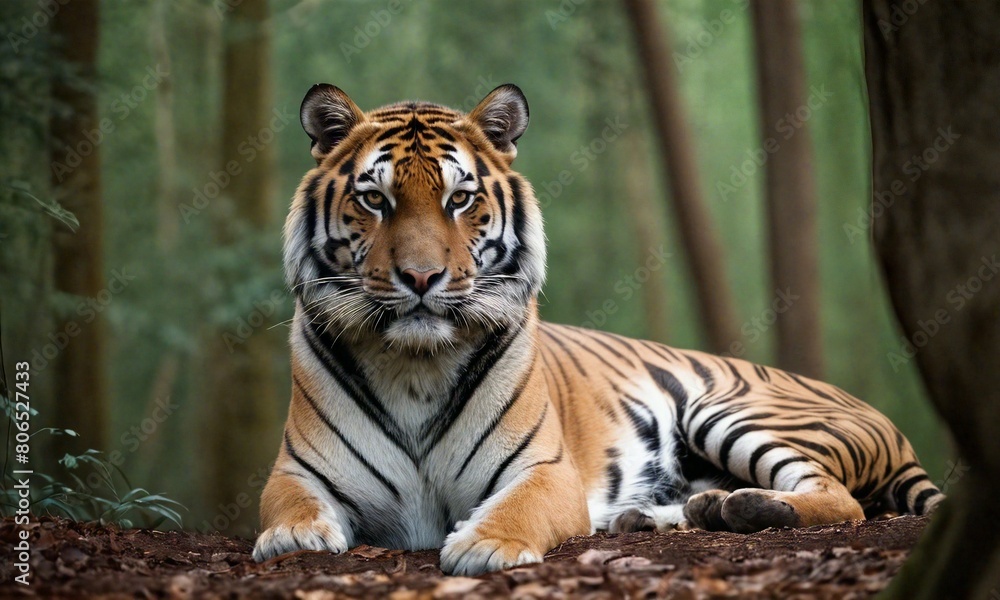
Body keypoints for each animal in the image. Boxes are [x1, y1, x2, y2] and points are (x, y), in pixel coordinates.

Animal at [252, 83, 944, 576]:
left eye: (459, 199)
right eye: (375, 199)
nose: (421, 277)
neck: (415, 362)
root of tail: (888, 422)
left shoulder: (544, 470)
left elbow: (518, 507)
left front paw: (484, 545)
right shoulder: (297, 471)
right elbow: (286, 506)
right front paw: (293, 535)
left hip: (730, 411)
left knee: (840, 498)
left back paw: (743, 506)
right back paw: (671, 514)